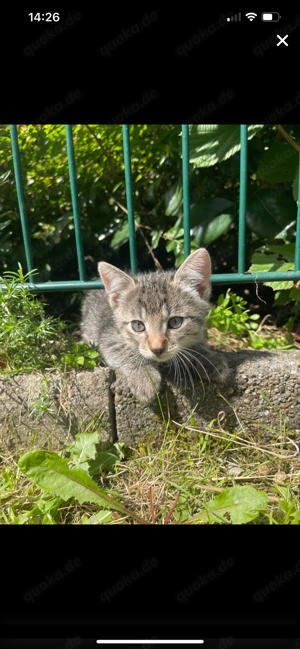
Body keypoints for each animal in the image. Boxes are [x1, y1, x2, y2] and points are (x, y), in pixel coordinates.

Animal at [79, 247, 227, 402]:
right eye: (138, 325)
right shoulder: (108, 336)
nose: (157, 349)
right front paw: (144, 376)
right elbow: (125, 351)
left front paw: (210, 358)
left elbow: (197, 342)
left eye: (175, 322)